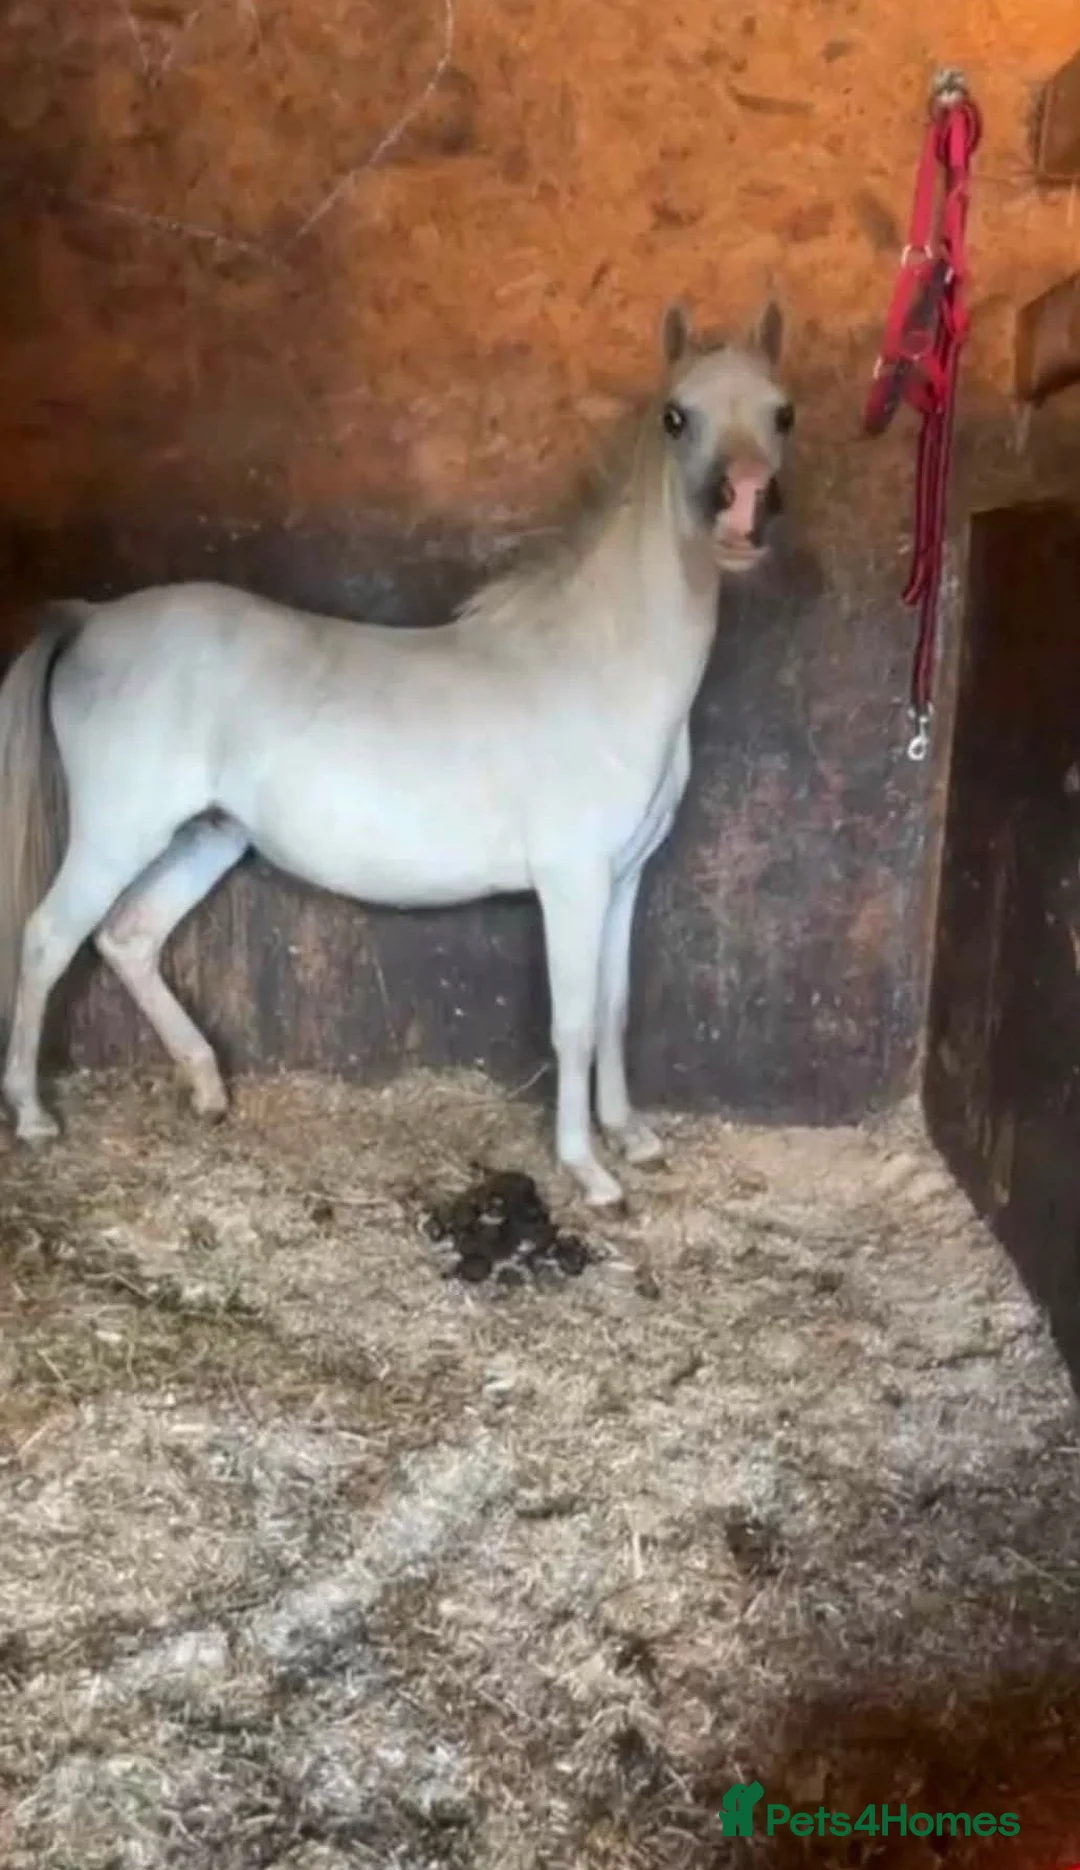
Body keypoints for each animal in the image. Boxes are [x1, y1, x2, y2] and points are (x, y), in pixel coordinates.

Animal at [0, 298, 794, 1208]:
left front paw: (632, 1138)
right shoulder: (574, 880)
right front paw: (588, 1171)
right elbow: (574, 1021)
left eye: (783, 413)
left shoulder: (625, 878)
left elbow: (616, 1006)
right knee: (48, 937)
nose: (744, 510)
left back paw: (205, 1088)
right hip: (117, 832)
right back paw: (32, 1116)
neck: (601, 665)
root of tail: (91, 619)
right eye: (675, 417)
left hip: (208, 837)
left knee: (128, 938)